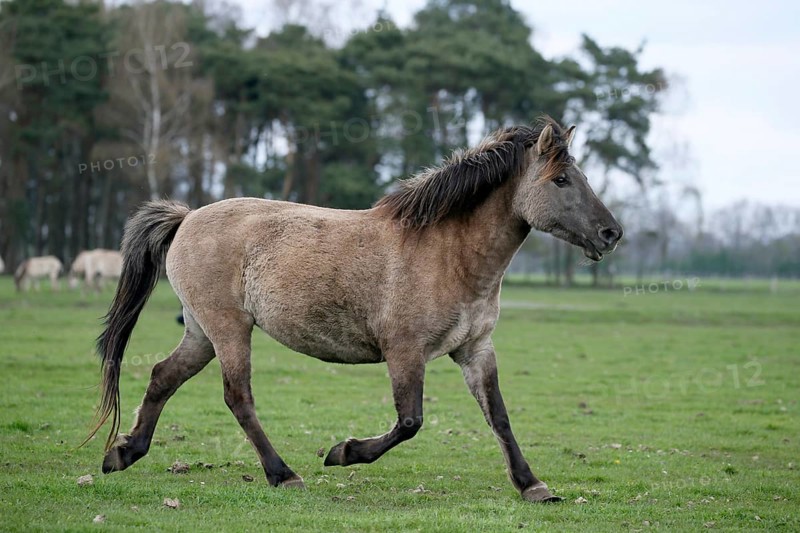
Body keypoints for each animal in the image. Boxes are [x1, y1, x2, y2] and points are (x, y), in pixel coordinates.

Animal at [88, 117, 622, 503]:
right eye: (560, 180)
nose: (611, 234)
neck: (448, 252)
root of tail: (186, 218)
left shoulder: (475, 350)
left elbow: (500, 417)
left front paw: (533, 485)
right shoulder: (405, 351)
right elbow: (410, 422)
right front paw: (342, 453)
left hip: (201, 332)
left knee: (162, 376)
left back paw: (124, 453)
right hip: (229, 329)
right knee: (238, 397)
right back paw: (284, 475)